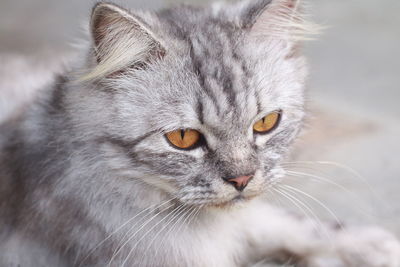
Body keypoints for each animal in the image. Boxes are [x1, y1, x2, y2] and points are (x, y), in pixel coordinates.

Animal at [0, 0, 400, 266]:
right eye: (183, 139)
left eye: (266, 123)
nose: (242, 180)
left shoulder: (250, 219)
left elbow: (295, 224)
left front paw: (373, 246)